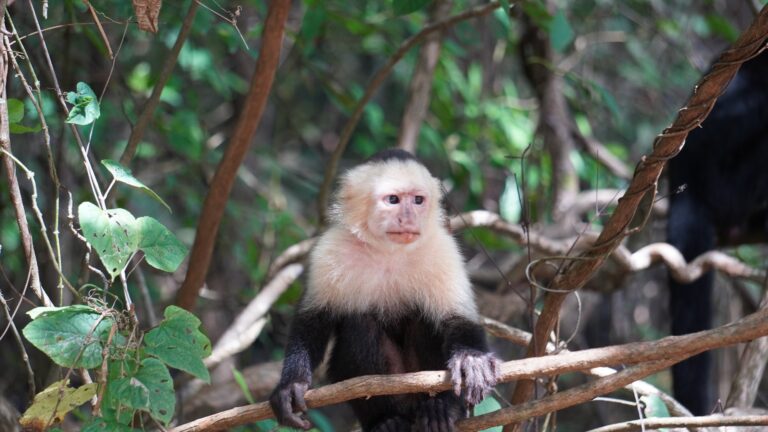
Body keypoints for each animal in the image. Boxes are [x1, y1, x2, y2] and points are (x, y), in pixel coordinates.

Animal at [269, 149, 500, 432]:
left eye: (418, 200)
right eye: (393, 200)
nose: (409, 218)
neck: (388, 251)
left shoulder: (442, 250)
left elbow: (457, 319)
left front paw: (472, 360)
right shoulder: (330, 250)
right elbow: (313, 320)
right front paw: (291, 385)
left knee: (425, 320)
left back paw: (440, 408)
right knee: (360, 325)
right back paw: (385, 419)